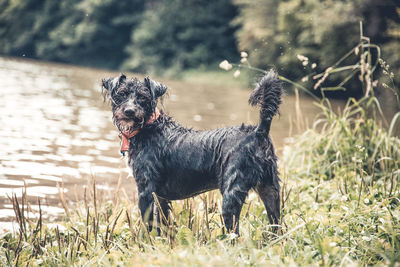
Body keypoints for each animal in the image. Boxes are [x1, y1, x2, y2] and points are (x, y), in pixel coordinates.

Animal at [104, 71, 284, 234]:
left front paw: (146, 244)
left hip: (232, 195)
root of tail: (259, 131)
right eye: (121, 94)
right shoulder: (161, 198)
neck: (148, 126)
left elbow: (147, 227)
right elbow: (162, 224)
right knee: (277, 227)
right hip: (271, 192)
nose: (129, 111)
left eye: (143, 97)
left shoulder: (146, 191)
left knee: (235, 234)